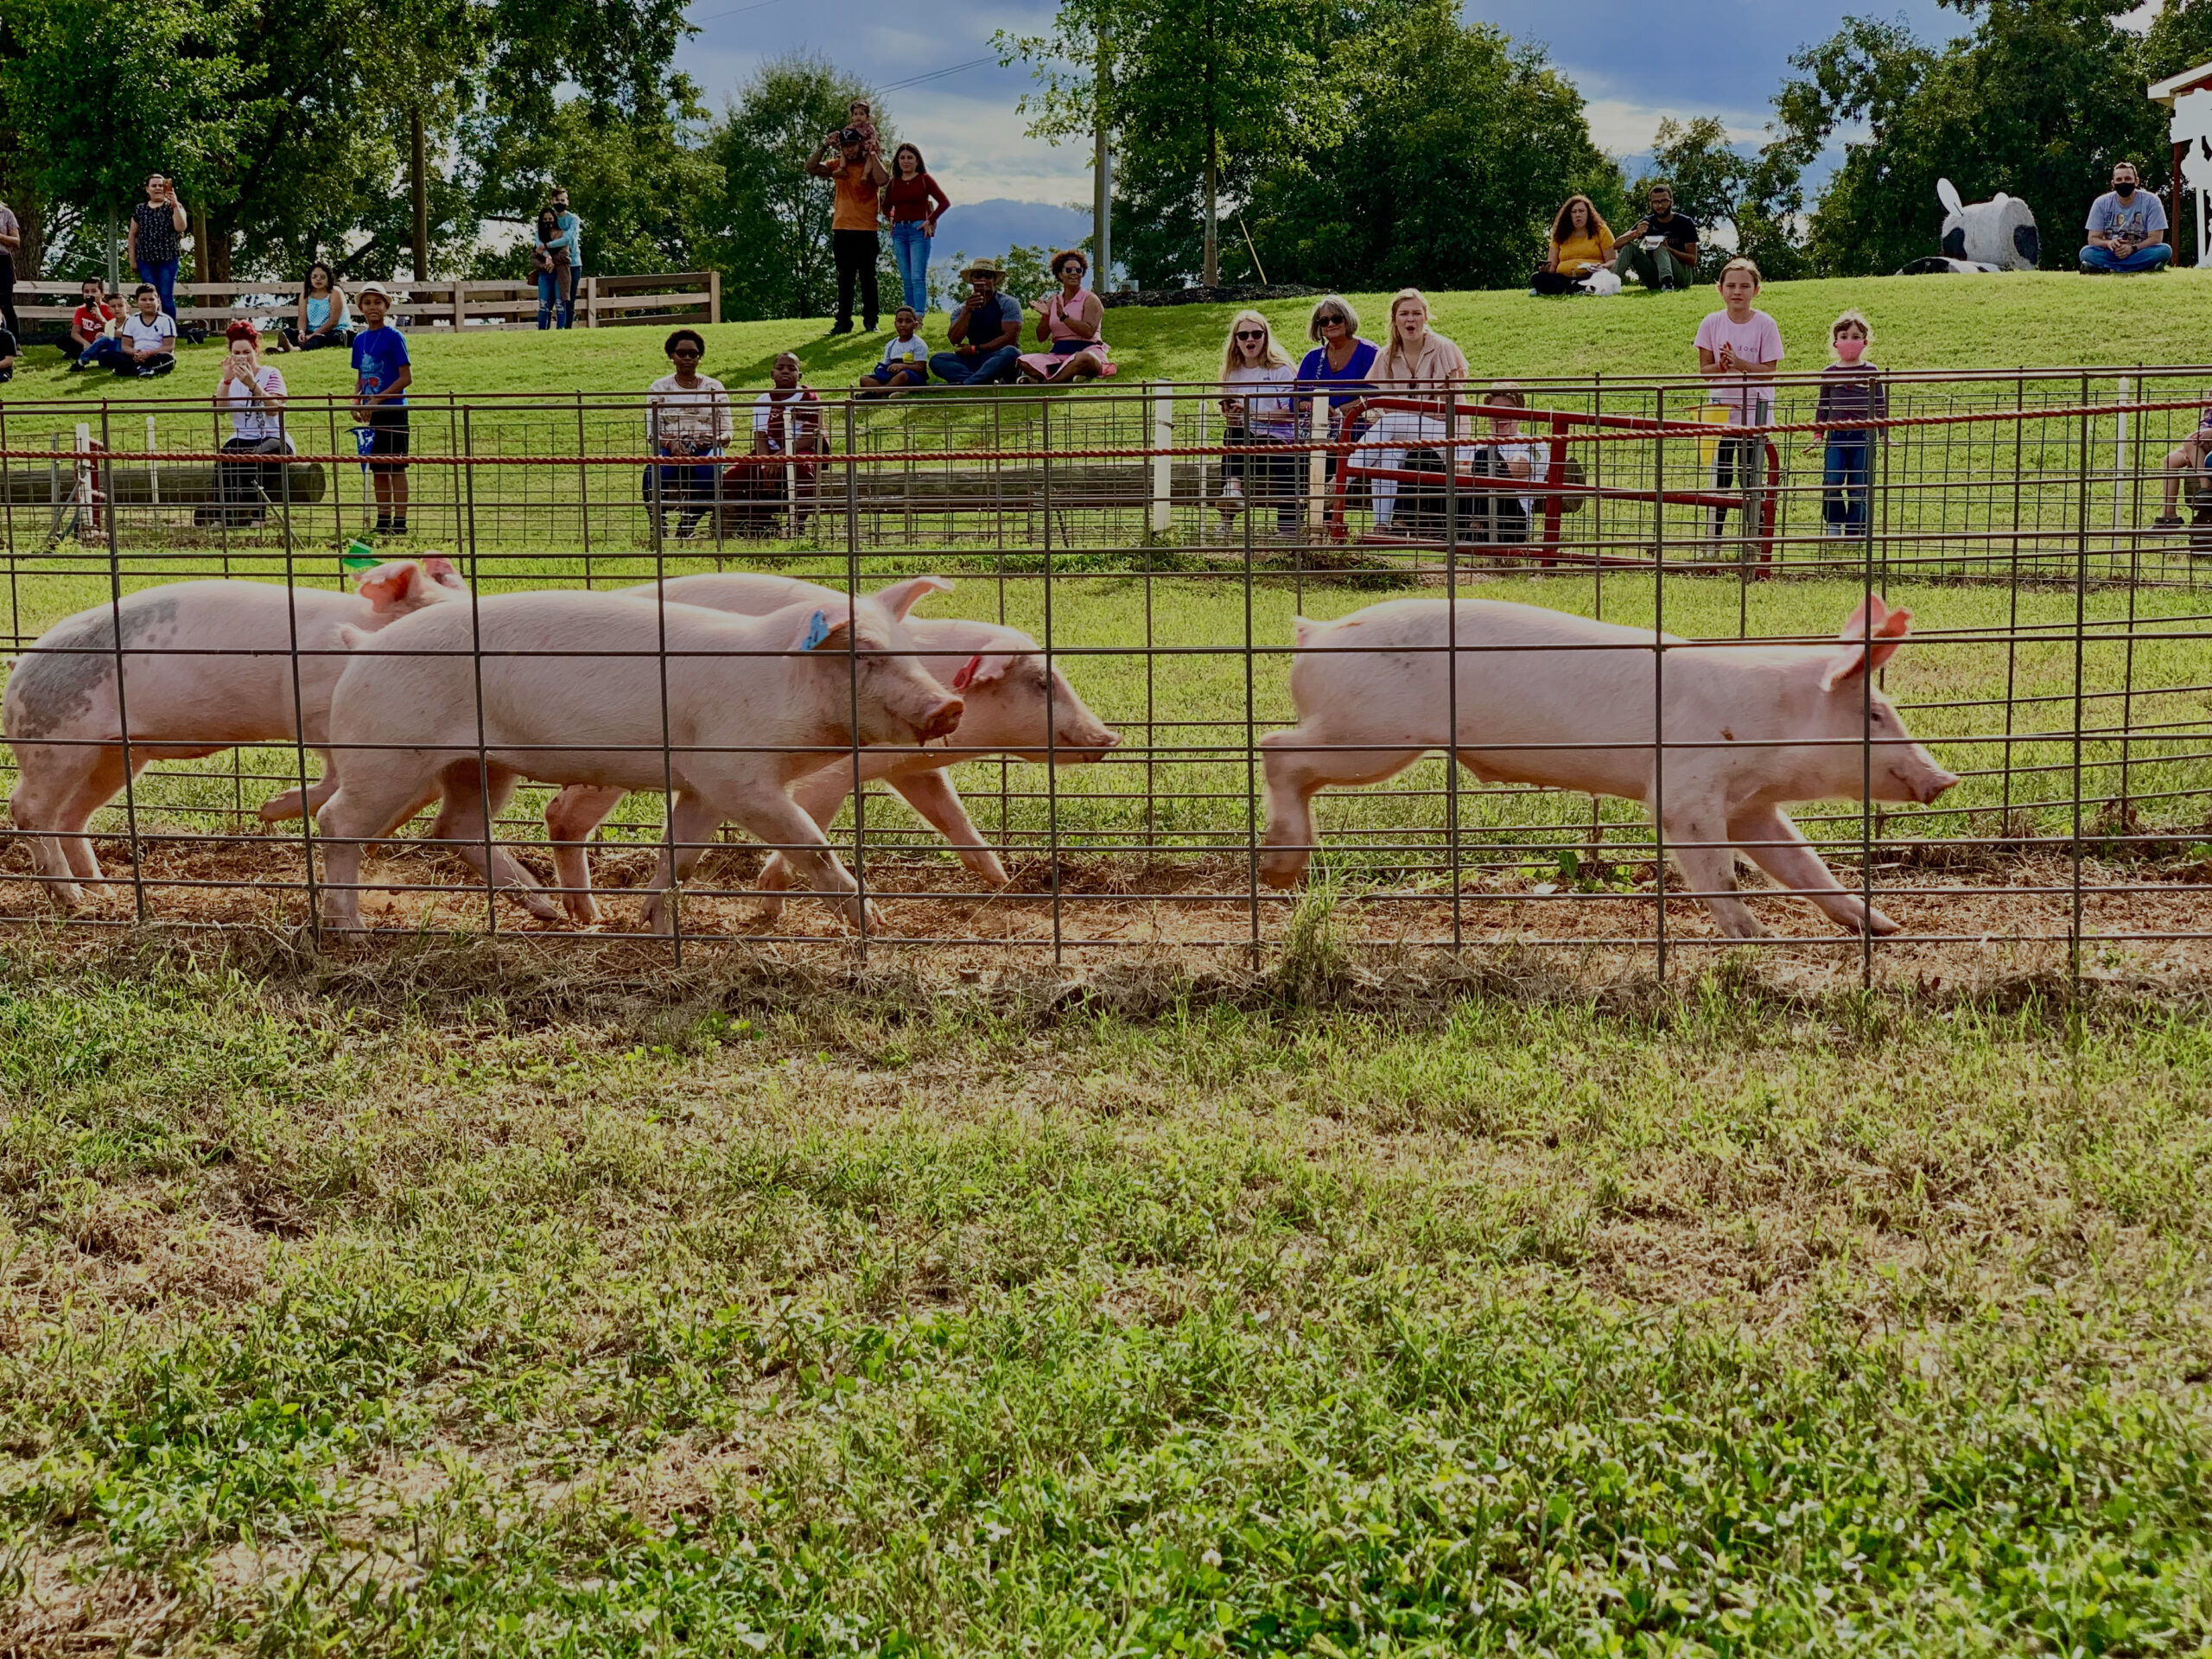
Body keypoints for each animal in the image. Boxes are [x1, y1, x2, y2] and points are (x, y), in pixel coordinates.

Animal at [7, 566, 467, 915]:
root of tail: (18, 666)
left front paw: (272, 810)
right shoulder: (314, 713)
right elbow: (336, 776)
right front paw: (270, 810)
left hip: (116, 756)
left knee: (72, 816)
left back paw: (101, 891)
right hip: (56, 743)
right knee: (28, 808)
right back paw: (72, 898)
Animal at [314, 593, 960, 938]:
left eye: (908, 648)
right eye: (865, 654)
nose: (949, 705)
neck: (784, 684)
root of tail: (362, 647)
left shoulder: (703, 783)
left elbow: (684, 850)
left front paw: (653, 920)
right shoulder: (735, 771)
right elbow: (811, 844)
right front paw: (876, 924)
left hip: (480, 766)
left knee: (455, 826)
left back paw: (555, 914)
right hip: (388, 754)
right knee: (337, 821)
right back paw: (353, 930)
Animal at [537, 575, 1123, 925]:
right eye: (1043, 681)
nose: (1111, 739)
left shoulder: (913, 769)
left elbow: (952, 815)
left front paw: (1002, 883)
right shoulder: (830, 773)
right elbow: (813, 828)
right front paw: (768, 905)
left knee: (561, 814)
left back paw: (587, 917)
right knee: (562, 812)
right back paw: (584, 916)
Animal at [1256, 593, 1964, 938]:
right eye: (1873, 713)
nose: (1945, 777)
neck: (1772, 724)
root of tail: (1315, 633)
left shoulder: (1752, 805)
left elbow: (1803, 865)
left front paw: (1885, 926)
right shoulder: (1686, 787)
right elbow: (1714, 868)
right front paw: (1757, 937)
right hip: (1373, 736)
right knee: (1275, 746)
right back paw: (1278, 870)